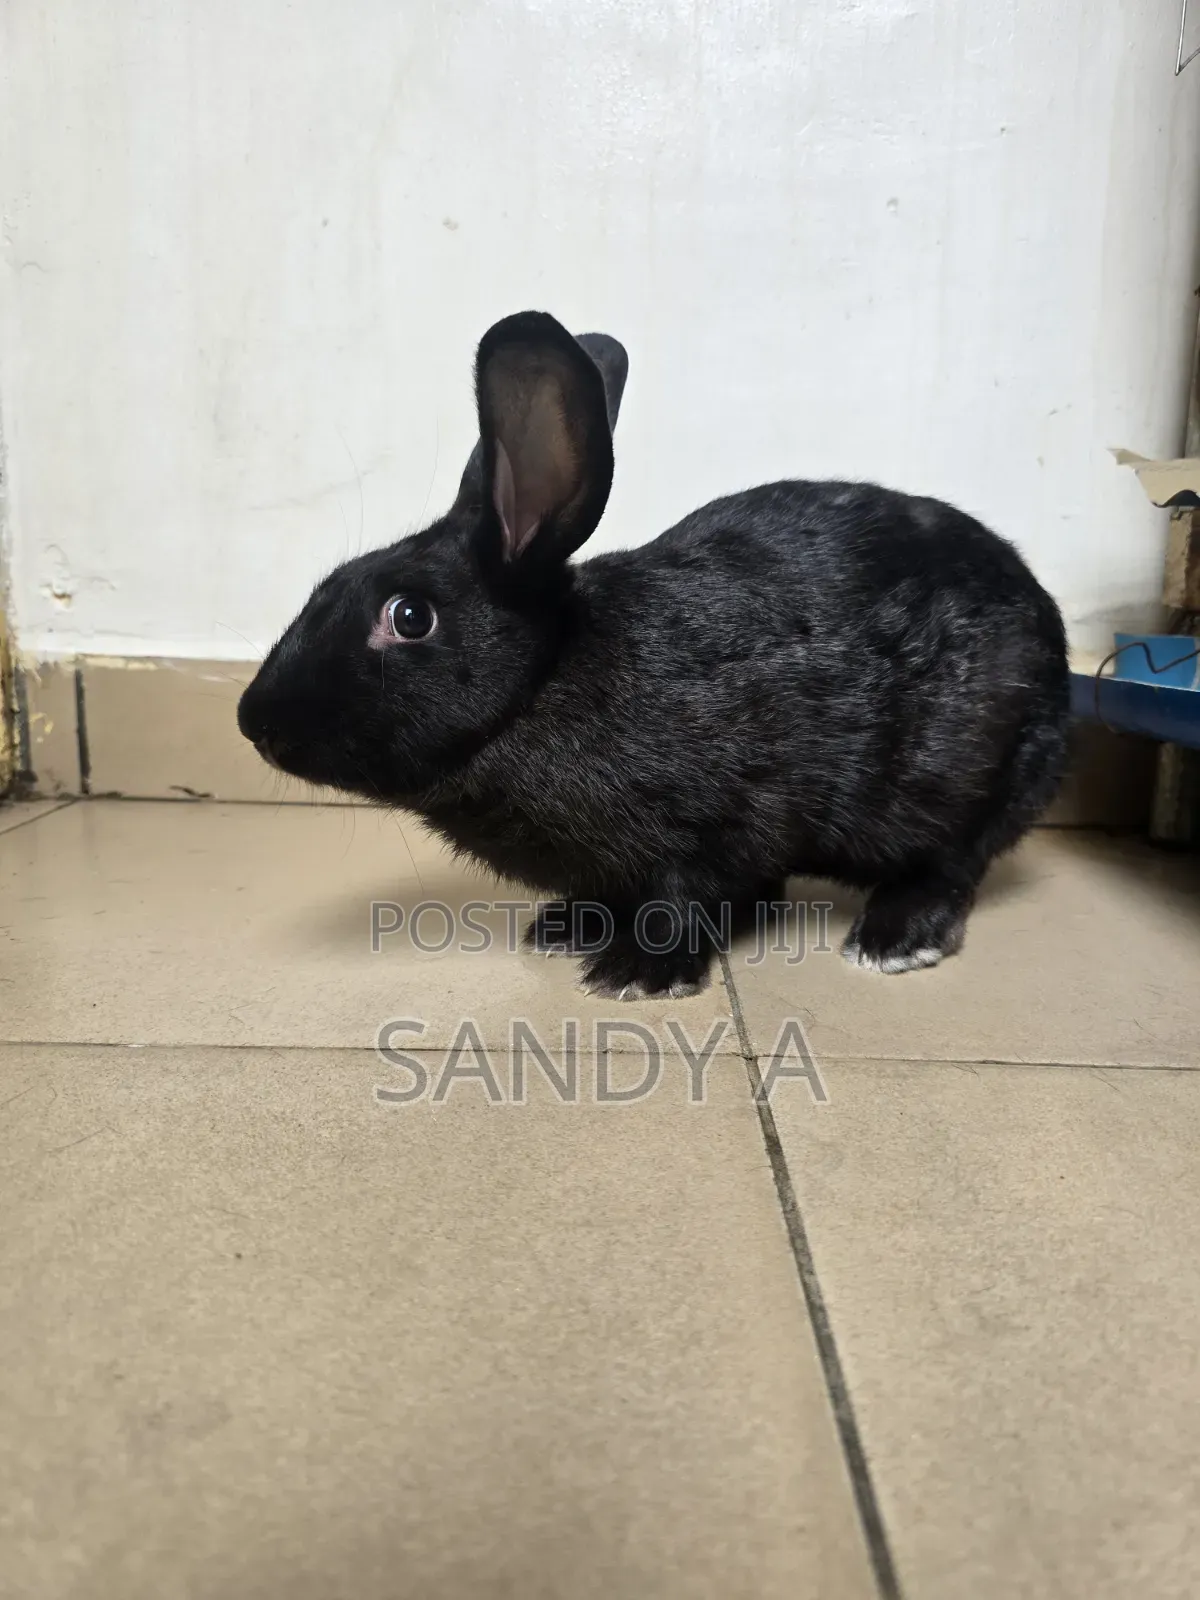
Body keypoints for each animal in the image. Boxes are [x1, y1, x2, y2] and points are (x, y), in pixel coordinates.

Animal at [238, 310, 1070, 998]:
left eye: (409, 616)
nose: (253, 720)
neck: (542, 682)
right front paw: (568, 927)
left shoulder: (715, 828)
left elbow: (681, 901)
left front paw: (634, 975)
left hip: (969, 779)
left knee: (953, 863)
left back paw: (893, 938)